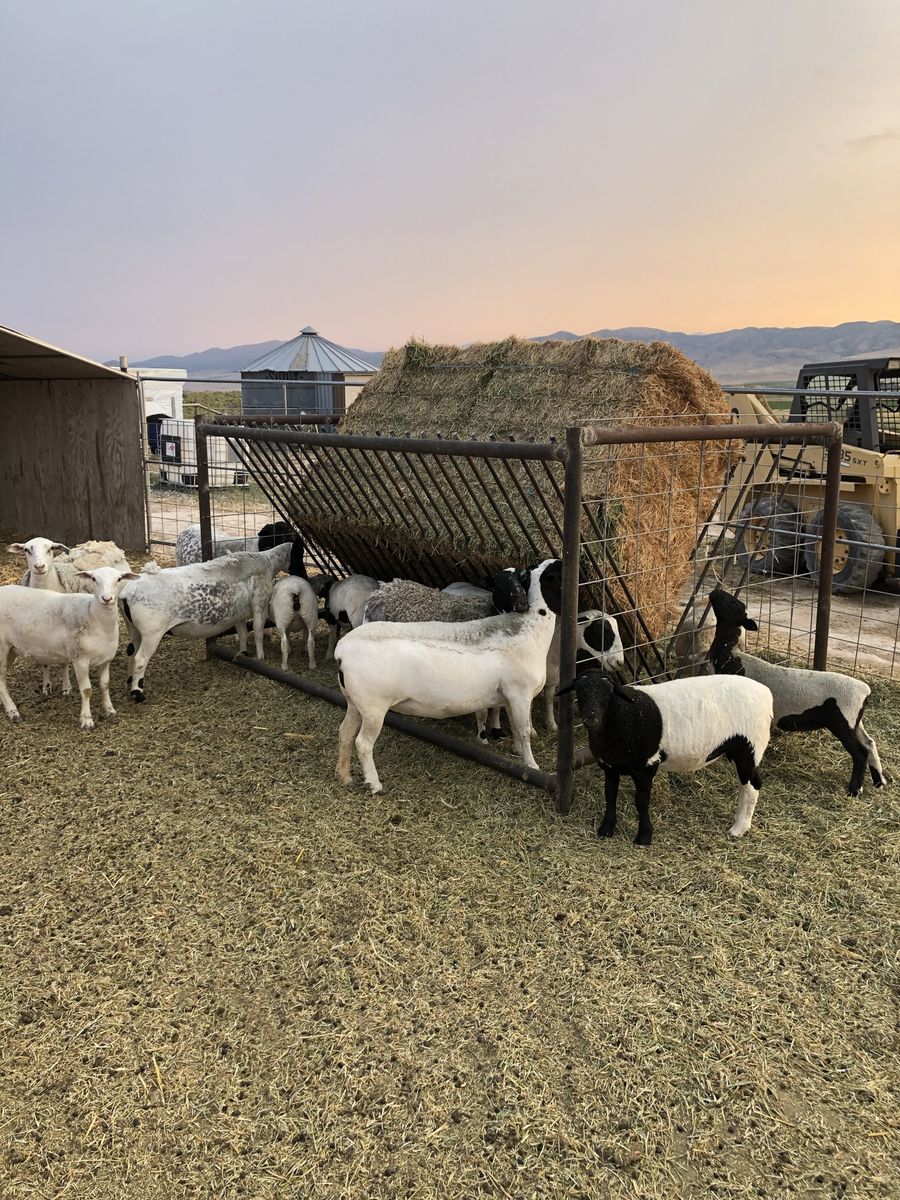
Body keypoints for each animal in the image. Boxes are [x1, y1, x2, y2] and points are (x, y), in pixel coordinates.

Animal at [0, 566, 138, 730]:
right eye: (93, 579)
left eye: (119, 579)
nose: (106, 598)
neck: (93, 617)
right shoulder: (80, 660)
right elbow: (86, 690)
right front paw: (86, 720)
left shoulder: (106, 660)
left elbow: (105, 685)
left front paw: (109, 709)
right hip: (1, 648)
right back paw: (13, 712)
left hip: (11, 649)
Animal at [119, 540, 299, 701]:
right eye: (300, 552)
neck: (269, 562)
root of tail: (126, 594)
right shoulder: (259, 606)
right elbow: (258, 633)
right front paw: (260, 658)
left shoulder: (239, 613)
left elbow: (242, 633)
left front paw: (244, 653)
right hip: (152, 633)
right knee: (140, 659)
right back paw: (137, 693)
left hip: (133, 629)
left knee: (131, 652)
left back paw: (129, 682)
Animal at [334, 559, 563, 795]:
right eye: (557, 572)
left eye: (522, 577)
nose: (520, 603)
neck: (531, 628)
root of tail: (342, 650)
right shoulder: (520, 694)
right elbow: (524, 730)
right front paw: (532, 766)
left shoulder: (510, 696)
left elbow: (515, 726)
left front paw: (516, 750)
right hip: (374, 708)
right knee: (363, 743)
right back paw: (374, 784)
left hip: (356, 703)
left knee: (345, 733)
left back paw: (344, 776)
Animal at [560, 670, 773, 845]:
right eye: (579, 691)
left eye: (607, 692)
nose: (590, 718)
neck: (622, 715)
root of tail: (766, 694)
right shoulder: (610, 766)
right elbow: (610, 795)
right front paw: (606, 829)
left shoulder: (647, 765)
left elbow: (641, 801)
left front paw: (644, 837)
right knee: (745, 785)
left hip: (750, 748)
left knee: (752, 786)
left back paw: (738, 829)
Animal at [706, 586, 885, 797]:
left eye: (734, 602)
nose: (716, 590)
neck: (730, 655)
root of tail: (865, 691)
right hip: (854, 721)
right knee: (870, 743)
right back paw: (879, 782)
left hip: (842, 721)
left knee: (860, 752)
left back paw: (855, 790)